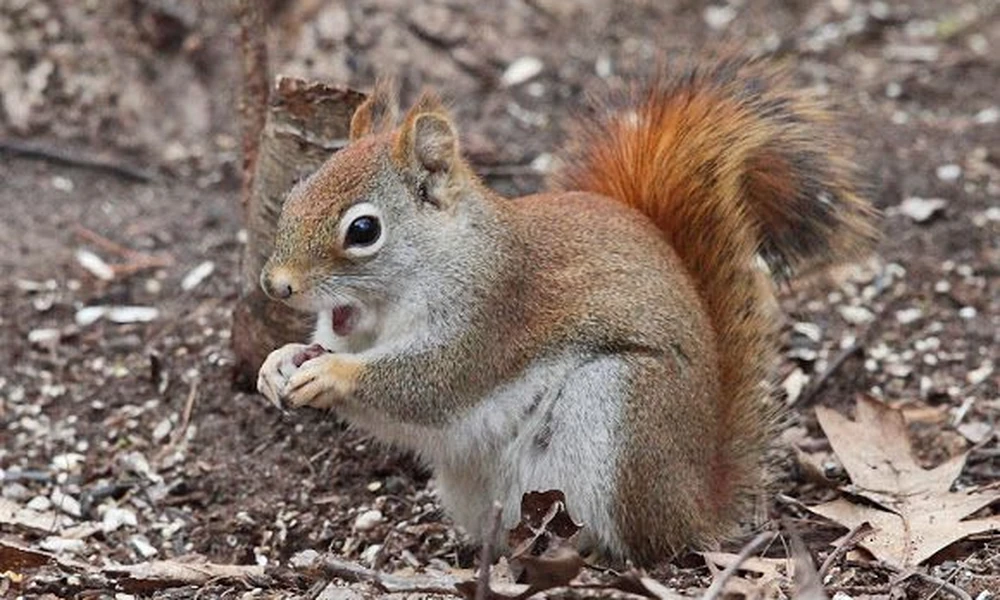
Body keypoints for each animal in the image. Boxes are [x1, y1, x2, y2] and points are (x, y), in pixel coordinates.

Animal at [255, 55, 877, 564]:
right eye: (295, 193)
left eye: (364, 230)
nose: (275, 286)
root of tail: (698, 500)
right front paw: (278, 363)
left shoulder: (493, 311)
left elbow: (432, 383)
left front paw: (332, 375)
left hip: (617, 408)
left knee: (638, 542)